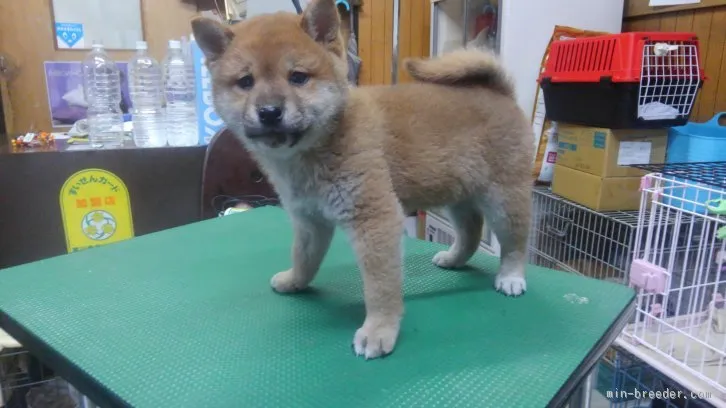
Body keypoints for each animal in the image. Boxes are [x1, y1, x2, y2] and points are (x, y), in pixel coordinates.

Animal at [192, 0, 536, 360]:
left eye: (298, 77)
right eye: (246, 82)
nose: (269, 111)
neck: (316, 149)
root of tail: (499, 92)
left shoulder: (374, 218)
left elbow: (380, 286)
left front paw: (379, 330)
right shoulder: (309, 220)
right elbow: (303, 258)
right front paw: (295, 281)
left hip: (504, 199)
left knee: (514, 242)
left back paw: (511, 277)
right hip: (457, 194)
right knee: (470, 231)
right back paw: (453, 258)